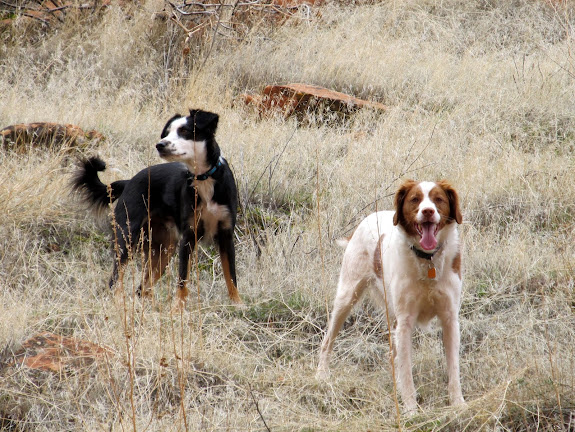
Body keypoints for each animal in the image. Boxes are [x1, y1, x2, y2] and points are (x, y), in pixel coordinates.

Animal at [73, 109, 241, 304]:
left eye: (184, 131)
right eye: (167, 132)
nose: (160, 145)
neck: (204, 178)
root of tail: (129, 181)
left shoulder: (226, 235)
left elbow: (231, 278)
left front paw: (238, 305)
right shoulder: (188, 237)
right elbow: (182, 281)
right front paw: (179, 308)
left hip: (163, 250)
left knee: (141, 289)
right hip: (127, 239)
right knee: (115, 281)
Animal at [318, 179, 466, 412]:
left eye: (438, 199)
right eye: (415, 199)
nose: (428, 211)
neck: (427, 260)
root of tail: (366, 220)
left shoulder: (450, 318)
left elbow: (453, 368)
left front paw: (458, 404)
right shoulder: (404, 321)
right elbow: (406, 371)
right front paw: (411, 410)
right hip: (346, 297)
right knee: (327, 340)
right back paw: (321, 375)